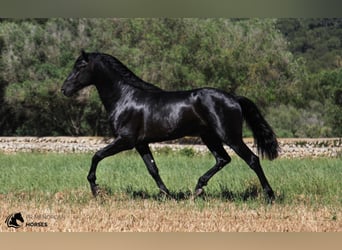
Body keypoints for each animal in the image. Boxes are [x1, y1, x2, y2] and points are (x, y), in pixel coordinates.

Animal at [62, 50, 278, 203]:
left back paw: (270, 196)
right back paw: (197, 189)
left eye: (80, 66)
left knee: (252, 159)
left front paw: (95, 188)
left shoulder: (126, 140)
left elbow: (97, 155)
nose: (64, 89)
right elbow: (152, 168)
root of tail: (234, 98)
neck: (125, 98)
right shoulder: (141, 143)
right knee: (223, 159)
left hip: (230, 137)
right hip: (210, 137)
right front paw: (167, 194)